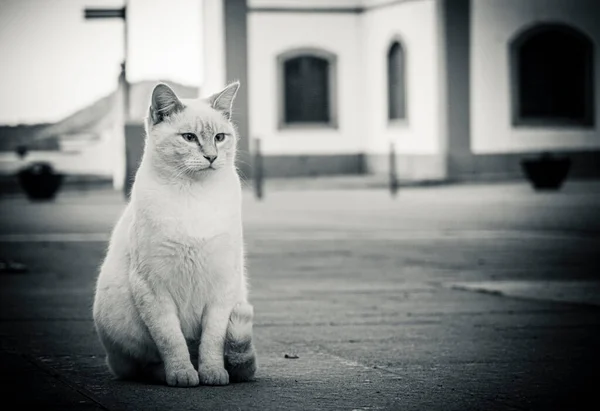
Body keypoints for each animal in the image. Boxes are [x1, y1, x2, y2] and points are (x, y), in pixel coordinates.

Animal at [92, 82, 256, 388]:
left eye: (219, 137)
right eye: (189, 138)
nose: (211, 157)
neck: (194, 194)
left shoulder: (222, 287)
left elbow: (212, 342)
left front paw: (212, 374)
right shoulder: (153, 288)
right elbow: (172, 340)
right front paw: (182, 375)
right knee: (143, 365)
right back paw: (166, 374)